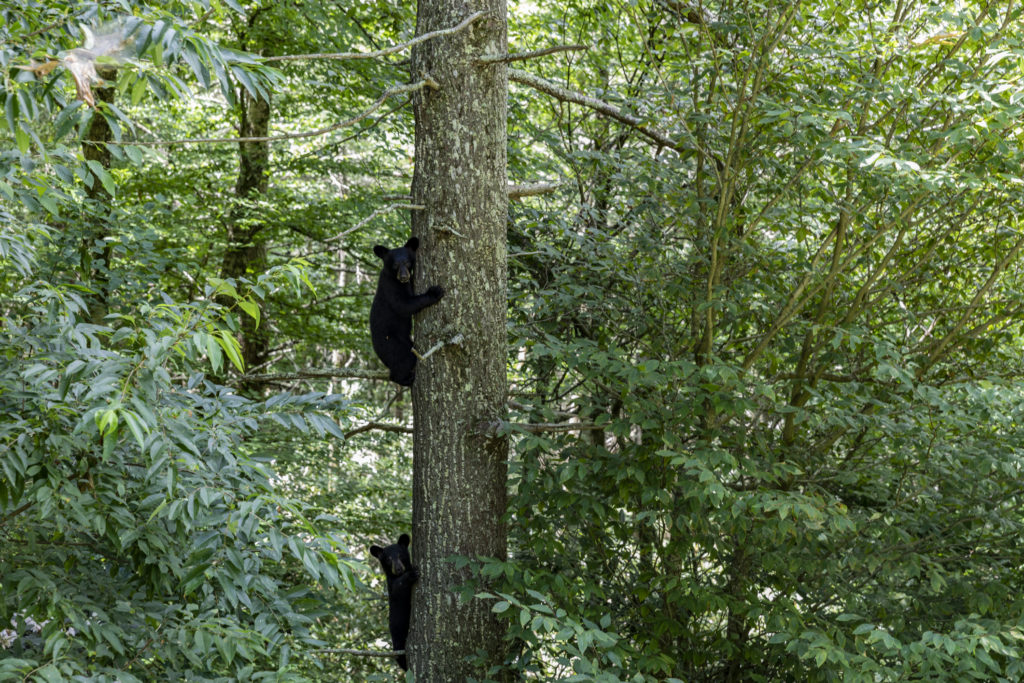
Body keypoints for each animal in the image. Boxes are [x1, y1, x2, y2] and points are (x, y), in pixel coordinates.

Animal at [369, 237, 445, 386]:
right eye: (395, 265)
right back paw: (406, 379)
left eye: (408, 262)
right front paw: (434, 292)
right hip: (392, 344)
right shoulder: (390, 286)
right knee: (404, 361)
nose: (404, 276)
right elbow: (403, 305)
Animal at [370, 533, 418, 671]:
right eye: (388, 559)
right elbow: (398, 589)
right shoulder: (391, 586)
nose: (398, 568)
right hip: (398, 638)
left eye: (400, 555)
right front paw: (411, 574)